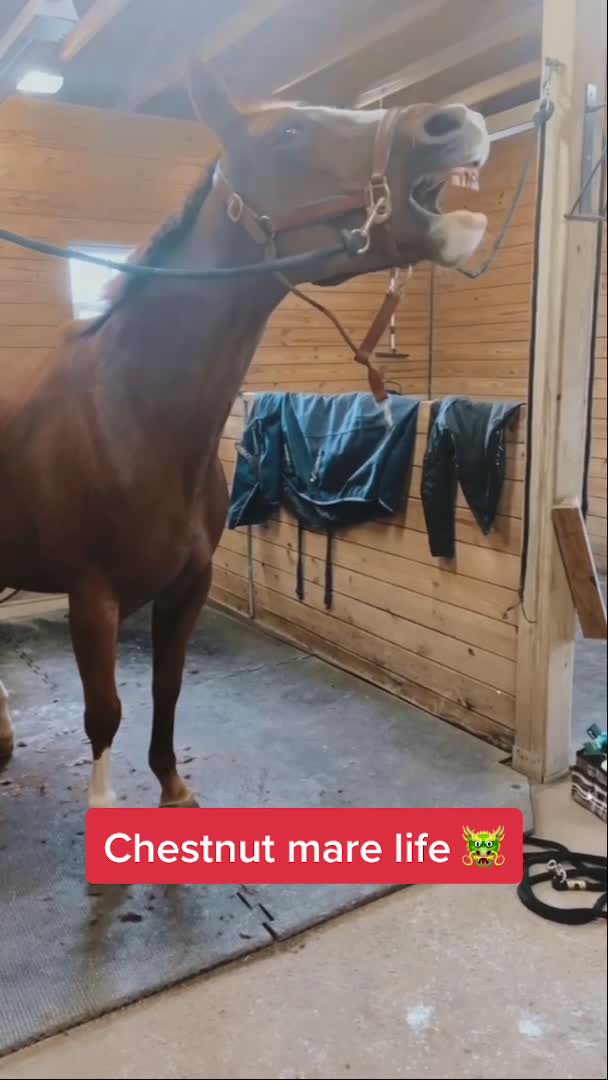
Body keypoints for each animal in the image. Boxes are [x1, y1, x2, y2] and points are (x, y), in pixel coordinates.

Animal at [0, 61, 489, 809]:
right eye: (286, 133)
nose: (454, 123)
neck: (129, 419)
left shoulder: (188, 587)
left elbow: (167, 689)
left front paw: (173, 789)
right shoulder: (92, 598)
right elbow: (104, 712)